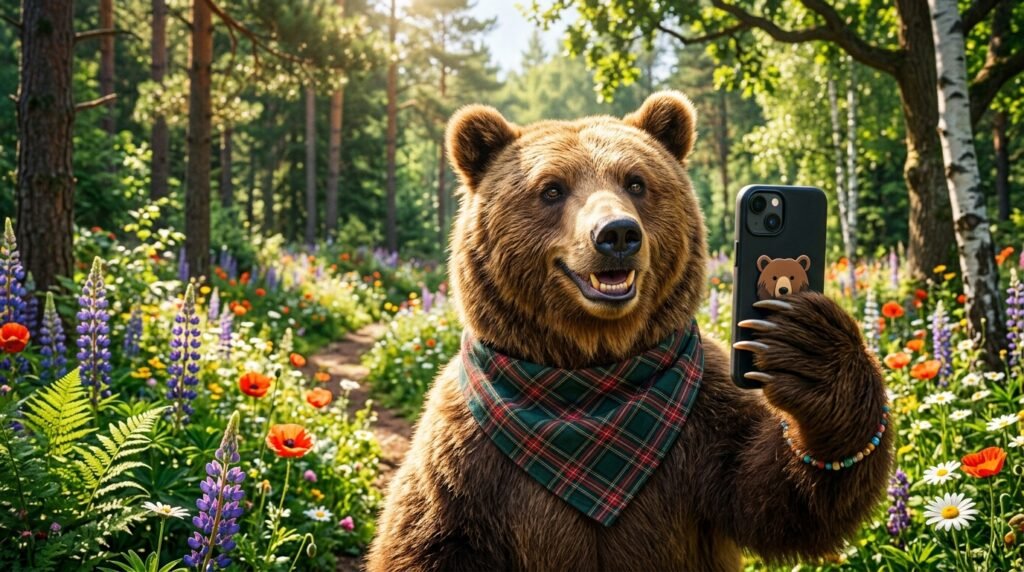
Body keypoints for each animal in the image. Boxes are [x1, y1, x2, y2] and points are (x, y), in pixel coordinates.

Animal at [367, 91, 891, 571]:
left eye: (636, 181)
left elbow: (775, 497)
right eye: (551, 189)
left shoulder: (704, 426)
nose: (617, 233)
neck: (591, 376)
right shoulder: (463, 460)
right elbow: (428, 541)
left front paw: (809, 353)